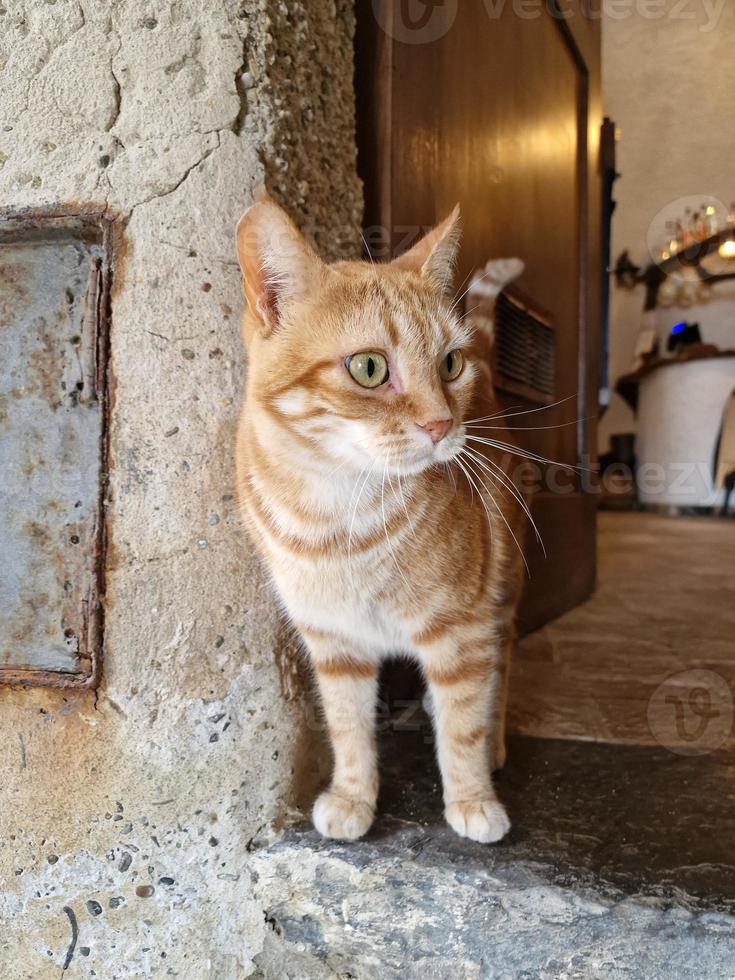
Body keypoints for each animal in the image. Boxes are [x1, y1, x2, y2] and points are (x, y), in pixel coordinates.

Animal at [236, 197, 528, 844]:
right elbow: (347, 726)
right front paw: (353, 798)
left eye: (449, 363)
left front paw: (472, 799)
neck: (338, 516)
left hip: (503, 592)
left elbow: (463, 726)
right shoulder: (333, 642)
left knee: (502, 662)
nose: (442, 425)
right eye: (369, 368)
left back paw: (496, 745)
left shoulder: (461, 628)